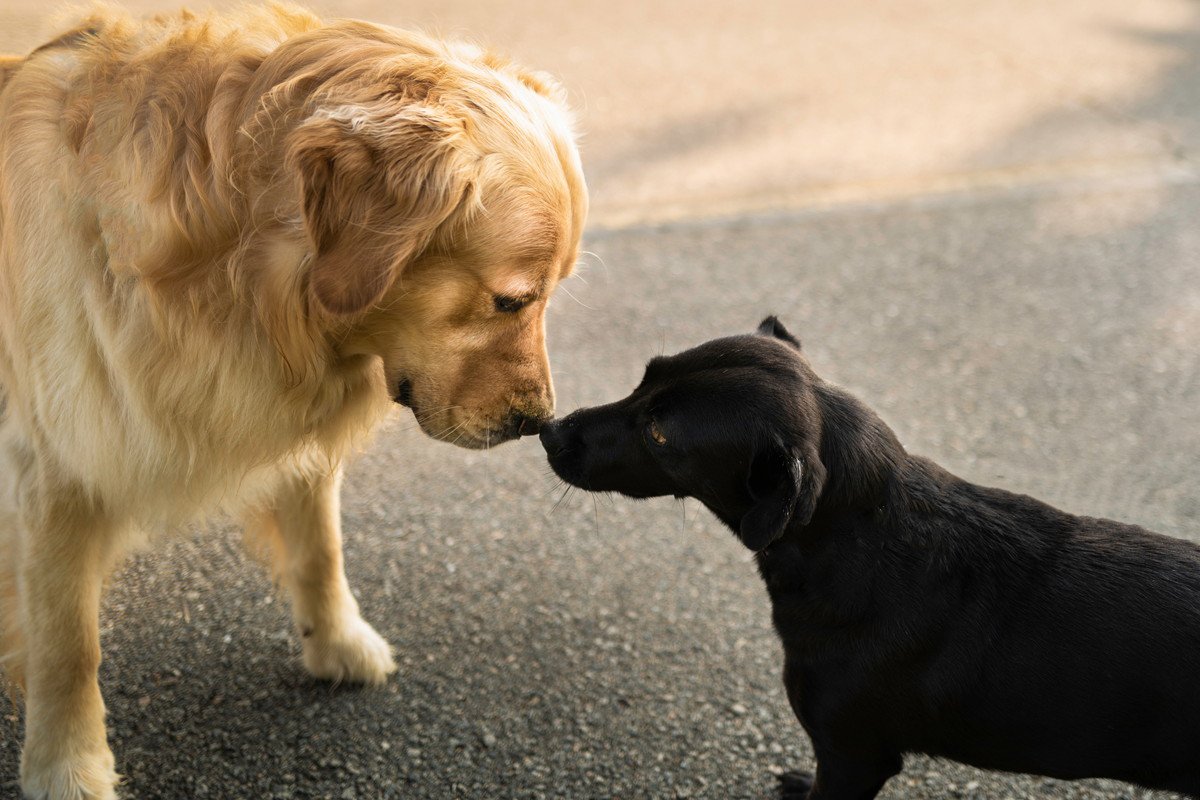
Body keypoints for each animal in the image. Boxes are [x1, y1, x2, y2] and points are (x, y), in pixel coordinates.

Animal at [0, 4, 585, 796]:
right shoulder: (57, 462)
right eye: (510, 300)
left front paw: (337, 641)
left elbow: (320, 548)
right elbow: (68, 645)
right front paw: (67, 767)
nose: (538, 422)